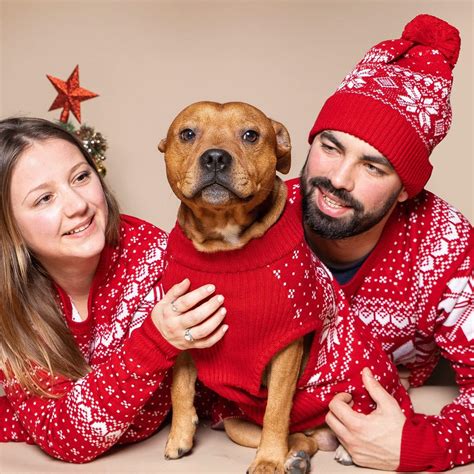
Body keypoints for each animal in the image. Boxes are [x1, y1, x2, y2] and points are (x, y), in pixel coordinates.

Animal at [157, 102, 338, 472]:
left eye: (251, 135)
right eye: (187, 133)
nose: (215, 157)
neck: (223, 243)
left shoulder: (286, 345)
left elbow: (277, 409)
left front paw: (268, 460)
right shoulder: (183, 330)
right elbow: (180, 388)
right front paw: (179, 438)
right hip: (236, 425)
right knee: (302, 439)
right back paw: (297, 456)